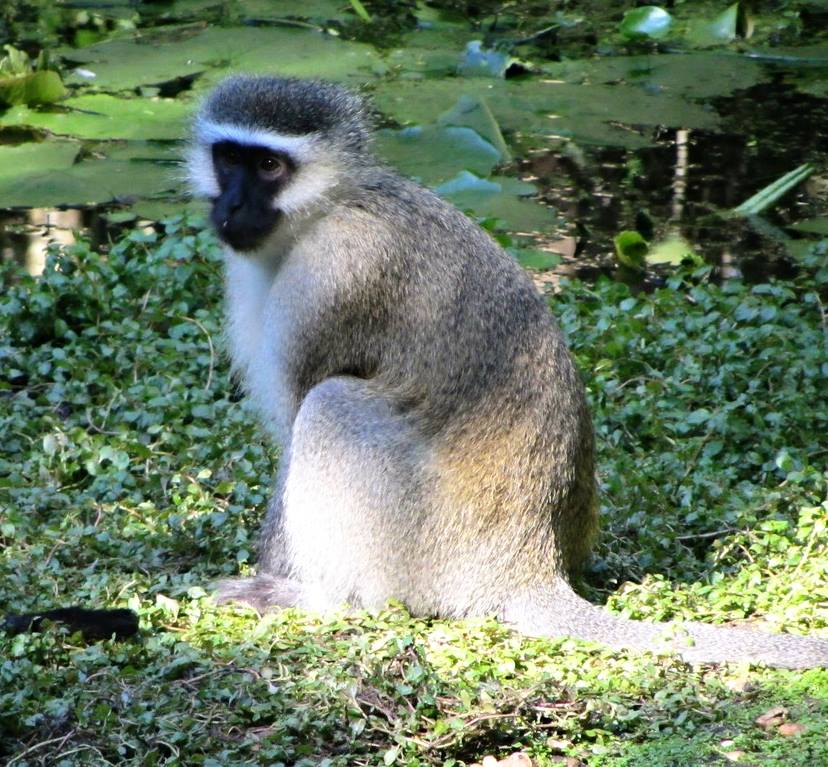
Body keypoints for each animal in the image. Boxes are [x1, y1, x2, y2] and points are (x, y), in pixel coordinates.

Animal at [186, 74, 828, 669]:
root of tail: (526, 560)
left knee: (330, 404)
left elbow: (297, 413)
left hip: (424, 547)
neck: (330, 206)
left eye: (270, 165)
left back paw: (330, 598)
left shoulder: (333, 272)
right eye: (229, 159)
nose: (231, 207)